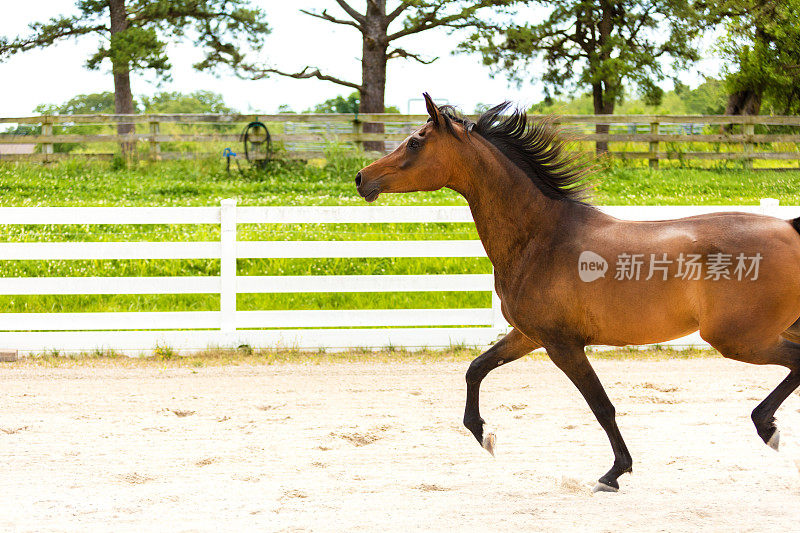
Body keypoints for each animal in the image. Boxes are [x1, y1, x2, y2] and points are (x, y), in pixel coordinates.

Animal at [360, 92, 800, 490]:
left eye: (415, 141)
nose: (362, 178)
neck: (540, 237)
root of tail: (790, 228)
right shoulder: (528, 336)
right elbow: (476, 368)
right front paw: (485, 435)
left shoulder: (562, 345)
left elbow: (601, 406)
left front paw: (615, 472)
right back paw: (768, 427)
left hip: (739, 339)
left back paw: (766, 427)